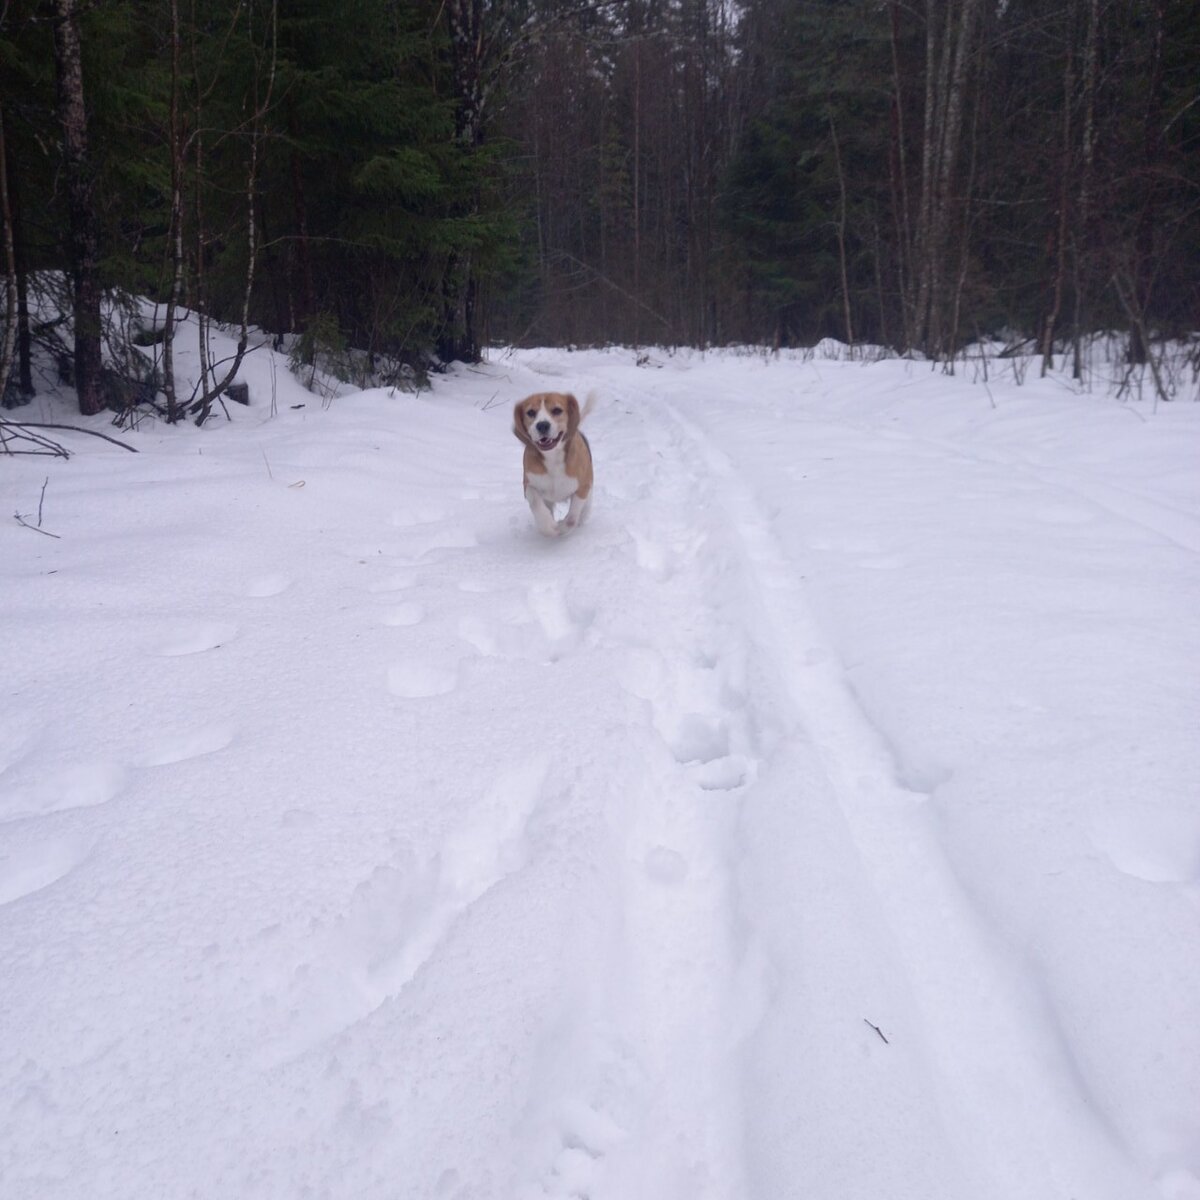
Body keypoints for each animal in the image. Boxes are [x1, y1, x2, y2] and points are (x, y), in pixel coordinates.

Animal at [511, 391, 595, 537]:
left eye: (557, 410)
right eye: (531, 412)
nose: (542, 425)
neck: (553, 457)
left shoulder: (583, 487)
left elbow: (572, 518)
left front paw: (562, 527)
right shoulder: (528, 484)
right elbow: (536, 503)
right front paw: (548, 526)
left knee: (583, 511)